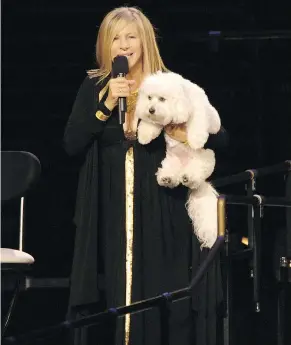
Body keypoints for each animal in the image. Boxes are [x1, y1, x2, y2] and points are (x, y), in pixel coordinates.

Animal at [136, 70, 222, 247]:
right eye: (149, 97)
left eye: (162, 99)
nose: (151, 110)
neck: (183, 99)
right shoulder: (159, 121)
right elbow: (151, 124)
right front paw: (144, 135)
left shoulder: (200, 111)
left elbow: (198, 122)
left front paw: (196, 140)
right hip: (170, 162)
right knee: (173, 178)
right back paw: (167, 178)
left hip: (204, 160)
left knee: (195, 174)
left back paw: (189, 176)